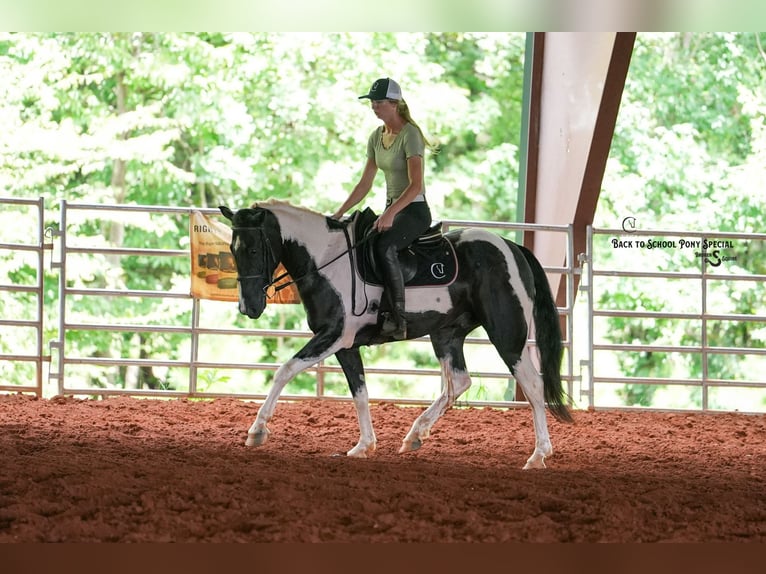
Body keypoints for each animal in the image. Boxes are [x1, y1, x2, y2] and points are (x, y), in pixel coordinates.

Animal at [219, 199, 573, 469]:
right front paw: (364, 445)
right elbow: (360, 393)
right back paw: (415, 434)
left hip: (507, 333)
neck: (326, 261)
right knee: (458, 382)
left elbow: (285, 370)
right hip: (447, 334)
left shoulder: (333, 336)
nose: (249, 307)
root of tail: (512, 247)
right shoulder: (346, 345)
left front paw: (257, 431)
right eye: (233, 251)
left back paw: (538, 455)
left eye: (253, 250)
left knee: (532, 383)